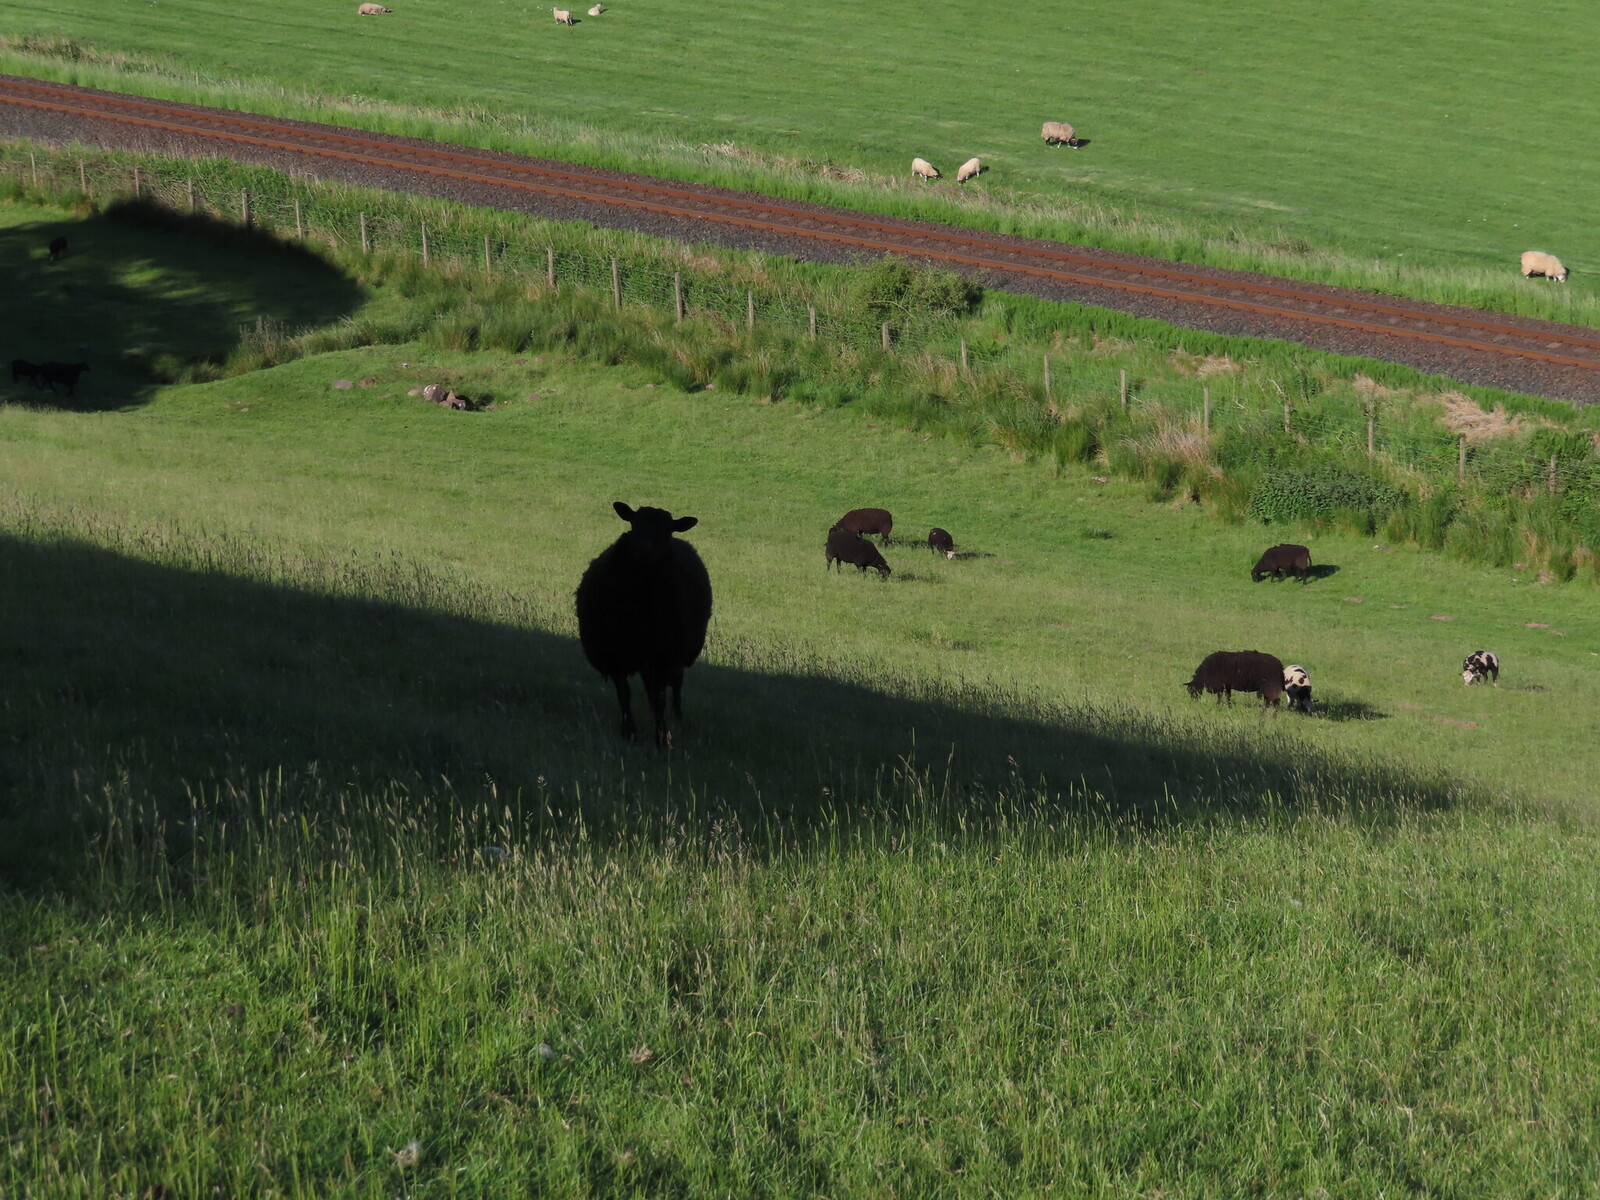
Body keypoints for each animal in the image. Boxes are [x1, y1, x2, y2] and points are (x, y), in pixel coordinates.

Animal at [574, 502, 714, 746]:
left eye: (668, 531)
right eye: (634, 524)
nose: (647, 552)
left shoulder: (665, 655)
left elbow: (660, 696)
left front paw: (661, 738)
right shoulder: (616, 652)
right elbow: (624, 693)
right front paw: (629, 731)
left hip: (676, 651)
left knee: (676, 683)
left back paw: (676, 716)